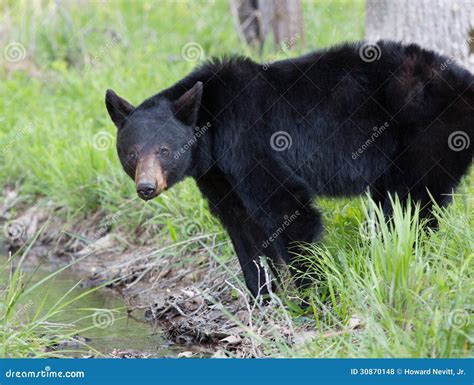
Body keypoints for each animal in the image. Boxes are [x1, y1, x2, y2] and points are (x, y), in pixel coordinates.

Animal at [105, 39, 472, 296]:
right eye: (132, 153)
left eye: (164, 150)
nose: (146, 187)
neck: (211, 129)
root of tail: (465, 81)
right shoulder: (216, 173)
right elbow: (240, 224)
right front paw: (262, 297)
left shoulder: (248, 139)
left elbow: (287, 207)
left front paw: (314, 295)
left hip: (429, 132)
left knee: (411, 201)